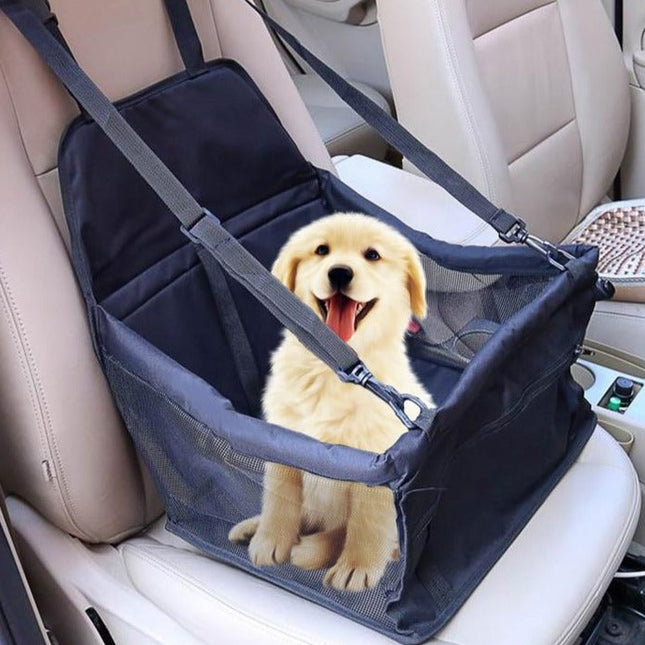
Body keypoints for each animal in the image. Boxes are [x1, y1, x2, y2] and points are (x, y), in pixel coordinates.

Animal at [226, 214, 432, 592]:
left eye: (372, 255)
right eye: (322, 250)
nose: (339, 273)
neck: (334, 367)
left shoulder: (376, 466)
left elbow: (366, 522)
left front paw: (357, 567)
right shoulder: (284, 442)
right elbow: (279, 498)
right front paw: (269, 540)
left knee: (345, 531)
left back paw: (315, 549)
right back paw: (255, 528)